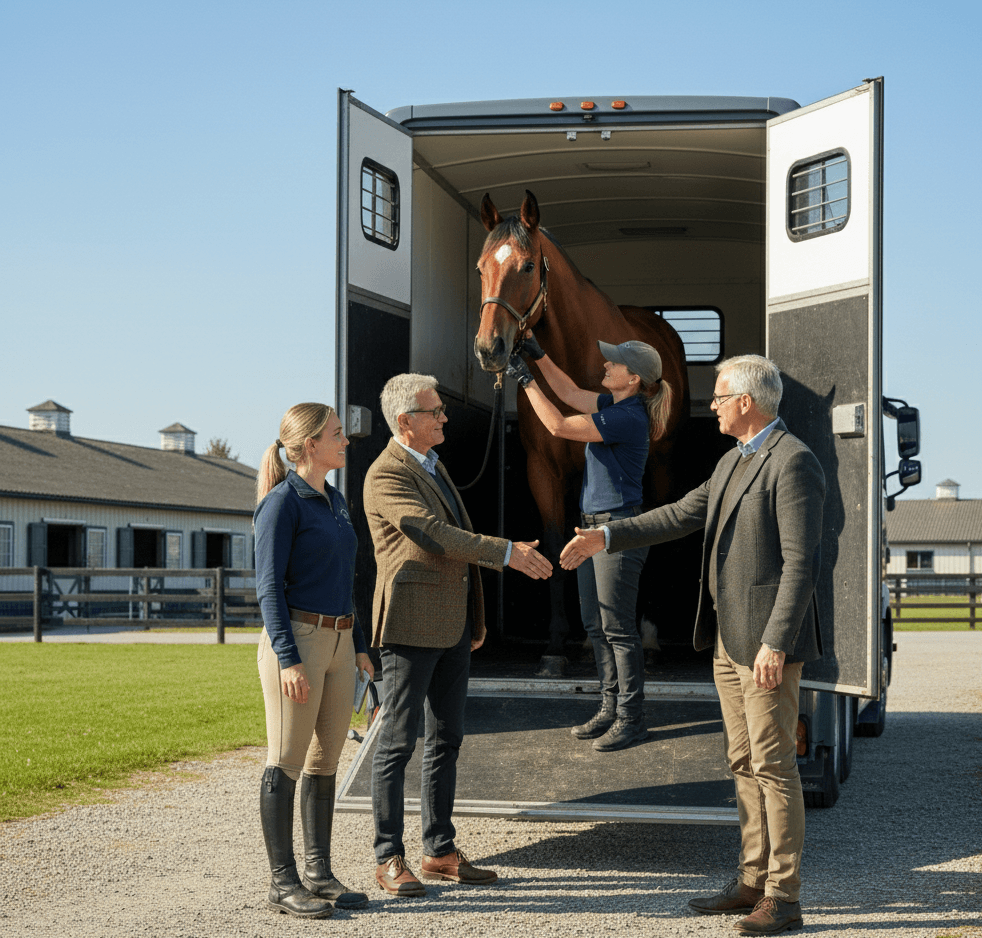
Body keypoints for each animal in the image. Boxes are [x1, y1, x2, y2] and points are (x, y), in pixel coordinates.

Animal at [474, 189, 690, 668]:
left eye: (527, 266)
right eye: (480, 268)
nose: (489, 348)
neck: (574, 354)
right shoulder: (544, 470)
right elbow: (558, 543)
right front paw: (556, 646)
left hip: (662, 464)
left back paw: (649, 635)